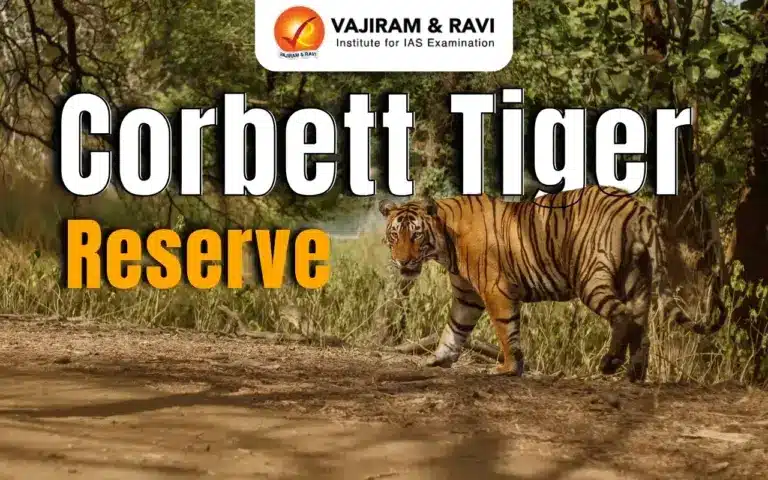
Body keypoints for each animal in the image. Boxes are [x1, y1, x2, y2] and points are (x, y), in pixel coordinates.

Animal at [378, 185, 728, 382]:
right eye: (395, 235)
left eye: (416, 235)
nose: (403, 262)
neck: (443, 243)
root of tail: (636, 206)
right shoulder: (467, 295)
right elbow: (454, 329)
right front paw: (438, 359)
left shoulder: (494, 290)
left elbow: (505, 330)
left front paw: (507, 368)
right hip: (637, 278)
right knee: (641, 325)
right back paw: (634, 374)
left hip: (591, 277)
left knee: (622, 316)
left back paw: (610, 364)